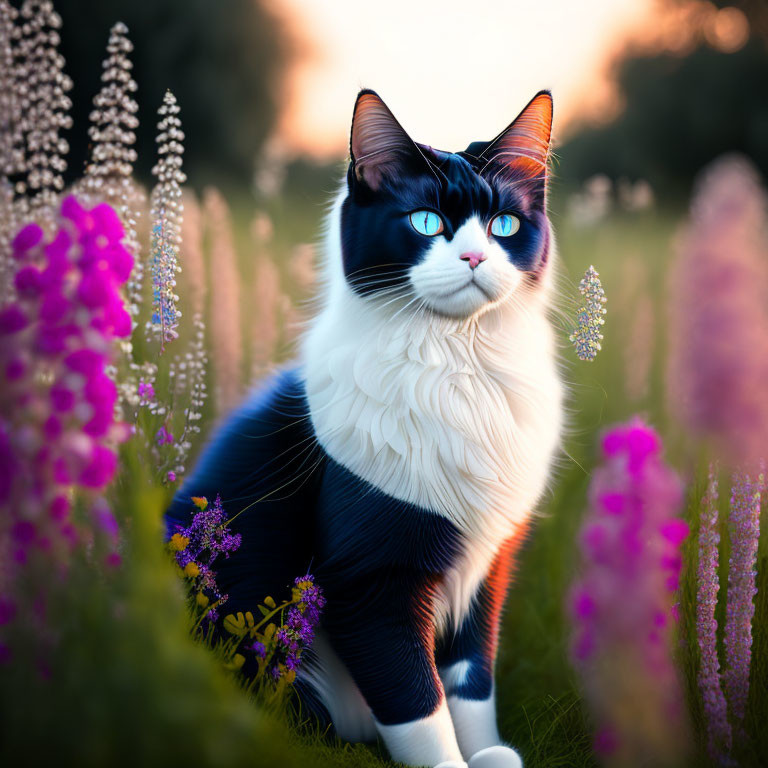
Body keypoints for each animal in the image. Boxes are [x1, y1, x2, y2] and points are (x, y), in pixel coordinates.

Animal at [166, 90, 564, 768]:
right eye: (425, 222)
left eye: (503, 226)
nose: (475, 256)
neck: (459, 365)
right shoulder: (369, 578)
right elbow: (416, 700)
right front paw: (451, 762)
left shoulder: (489, 562)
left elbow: (471, 679)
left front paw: (487, 752)